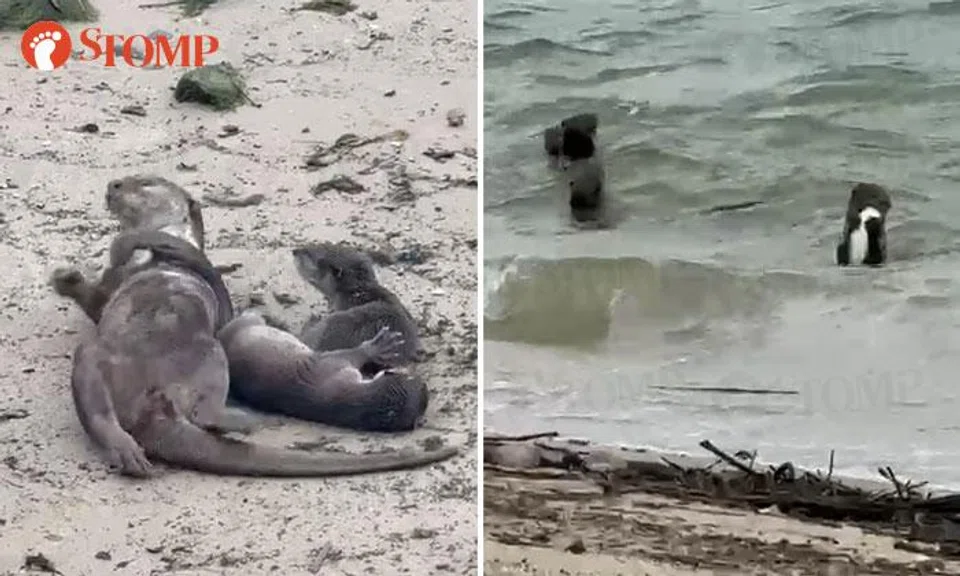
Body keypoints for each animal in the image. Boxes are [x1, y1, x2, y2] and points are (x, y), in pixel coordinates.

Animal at [50, 175, 457, 477]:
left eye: (145, 182)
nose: (113, 185)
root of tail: (148, 410)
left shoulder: (187, 255)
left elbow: (159, 248)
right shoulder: (111, 285)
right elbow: (98, 295)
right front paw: (65, 277)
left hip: (206, 351)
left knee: (199, 407)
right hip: (103, 356)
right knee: (101, 411)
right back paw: (129, 448)